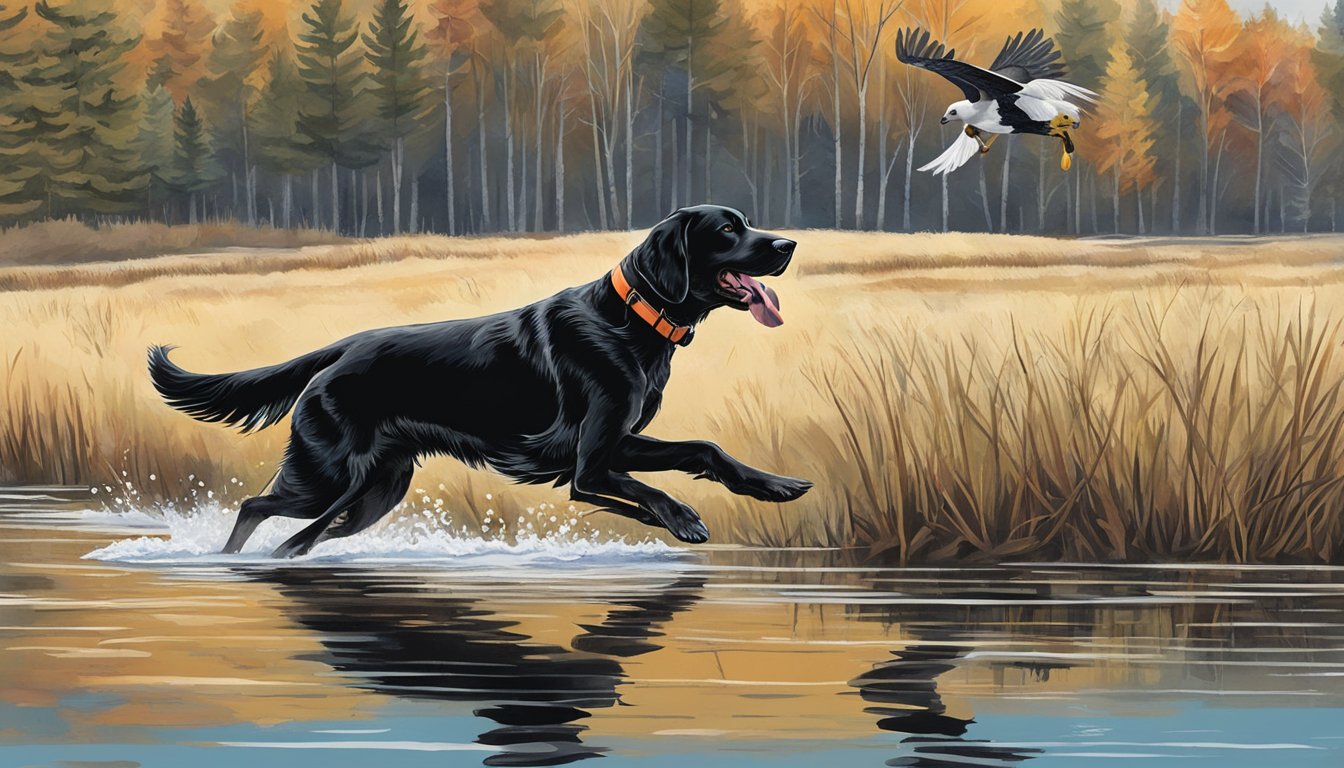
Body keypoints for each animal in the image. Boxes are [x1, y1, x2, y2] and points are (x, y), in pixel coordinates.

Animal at [152, 205, 811, 559]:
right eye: (726, 231)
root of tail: (341, 348)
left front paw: (775, 485)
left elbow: (704, 448)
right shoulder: (590, 462)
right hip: (331, 479)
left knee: (294, 535)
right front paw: (682, 518)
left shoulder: (619, 443)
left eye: (748, 225)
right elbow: (629, 489)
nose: (788, 243)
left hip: (373, 492)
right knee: (258, 508)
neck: (630, 320)